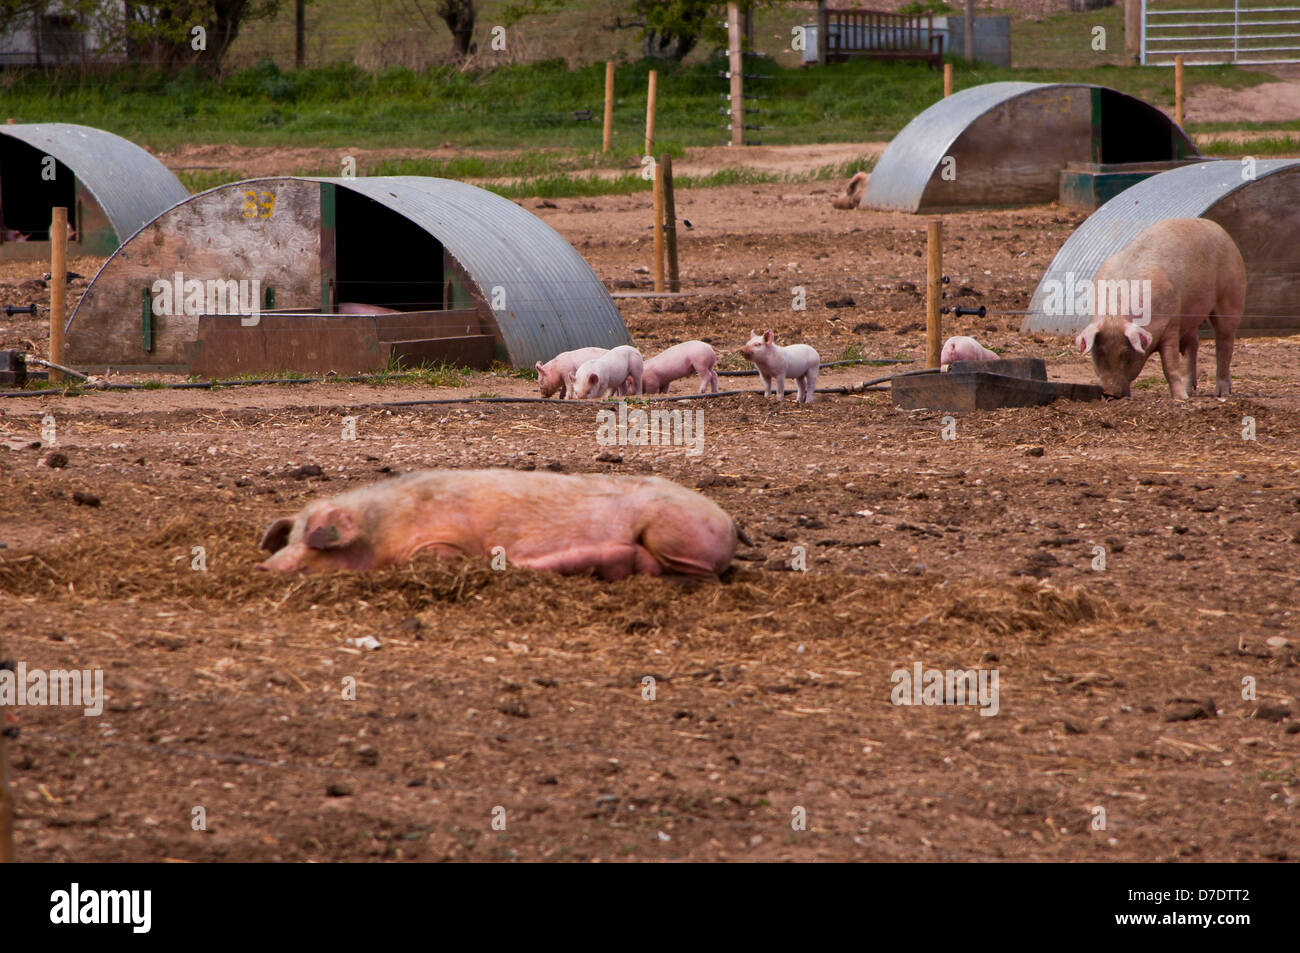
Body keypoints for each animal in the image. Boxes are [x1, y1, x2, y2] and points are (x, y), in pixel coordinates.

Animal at [1071, 217, 1242, 400]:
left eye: (1126, 353)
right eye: (1098, 353)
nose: (1109, 393)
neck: (1115, 315)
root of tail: (1216, 226)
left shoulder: (1171, 323)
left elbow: (1170, 365)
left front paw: (1180, 399)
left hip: (1231, 295)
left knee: (1224, 342)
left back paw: (1220, 393)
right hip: (1189, 317)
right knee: (1193, 344)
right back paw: (1190, 390)